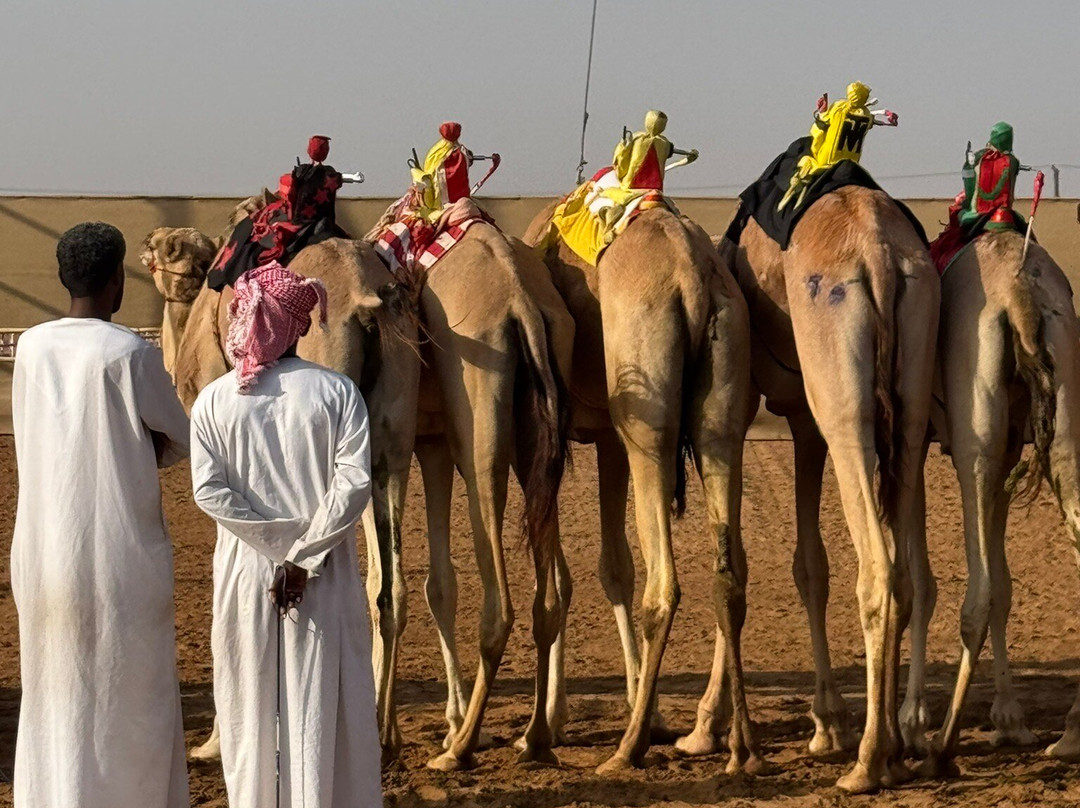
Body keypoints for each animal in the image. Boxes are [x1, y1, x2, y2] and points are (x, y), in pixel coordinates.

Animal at [522, 205, 762, 775]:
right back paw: (735, 745)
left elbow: (561, 576)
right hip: (721, 413)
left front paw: (545, 726)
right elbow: (612, 567)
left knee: (664, 586)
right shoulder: (607, 437)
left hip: (646, 426)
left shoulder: (565, 435)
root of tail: (694, 276)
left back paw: (628, 749)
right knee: (730, 573)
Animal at [687, 186, 939, 793]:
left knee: (879, 574)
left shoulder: (743, 406)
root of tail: (877, 251)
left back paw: (869, 763)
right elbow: (809, 566)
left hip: (842, 400)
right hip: (910, 398)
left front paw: (706, 725)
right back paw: (896, 746)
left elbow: (734, 563)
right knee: (906, 574)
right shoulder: (802, 420)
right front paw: (828, 724)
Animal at [904, 231, 1080, 775]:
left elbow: (921, 584)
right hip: (1062, 401)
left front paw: (911, 721)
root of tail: (1022, 295)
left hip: (974, 432)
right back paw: (1070, 734)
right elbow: (1004, 586)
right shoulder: (1007, 453)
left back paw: (942, 748)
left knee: (975, 595)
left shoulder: (916, 446)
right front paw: (1010, 719)